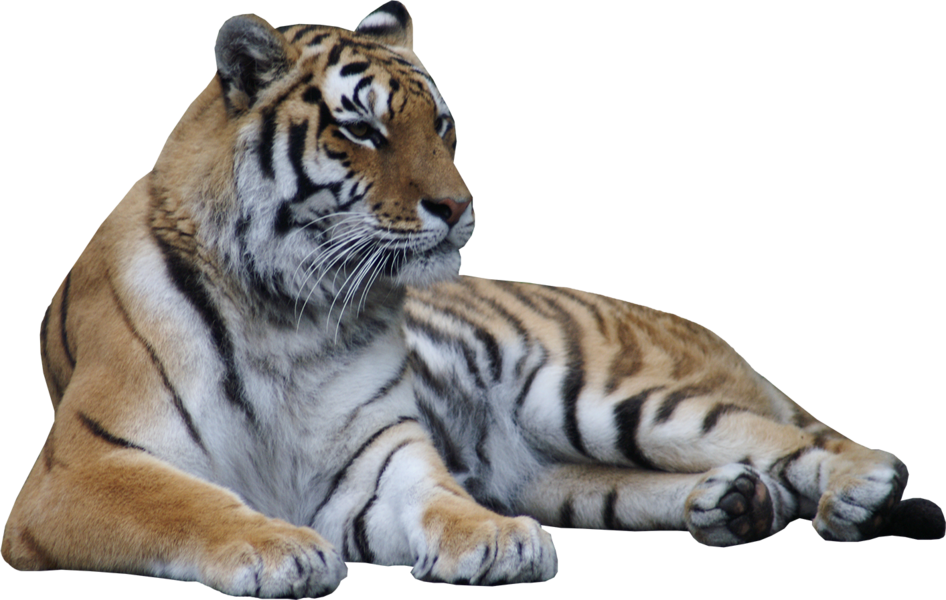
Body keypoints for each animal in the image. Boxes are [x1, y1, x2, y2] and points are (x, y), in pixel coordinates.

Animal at [3, 0, 943, 597]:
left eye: (442, 123)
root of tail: (707, 328)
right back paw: (737, 505)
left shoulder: (380, 457)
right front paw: (279, 549)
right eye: (362, 128)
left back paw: (859, 486)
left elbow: (440, 498)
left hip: (601, 394)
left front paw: (493, 540)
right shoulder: (80, 469)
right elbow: (186, 501)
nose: (459, 207)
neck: (290, 314)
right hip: (566, 474)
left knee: (787, 436)